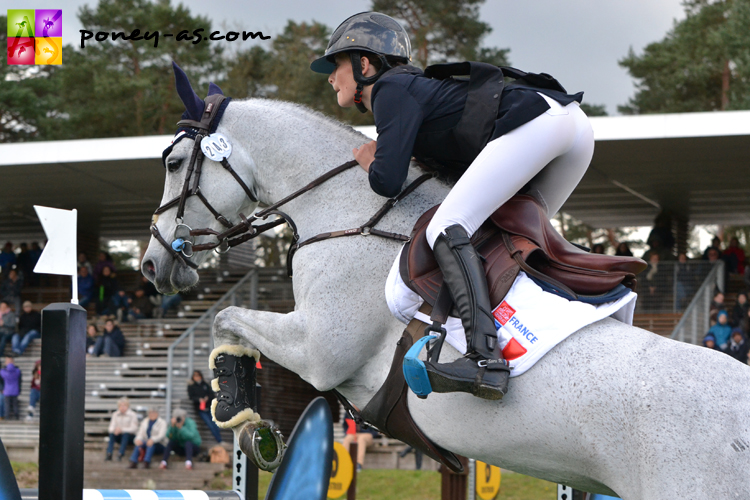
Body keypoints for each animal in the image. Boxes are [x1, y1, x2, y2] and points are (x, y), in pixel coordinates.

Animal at [142, 83, 750, 500]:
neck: (348, 214)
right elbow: (230, 321)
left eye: (173, 163)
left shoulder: (317, 349)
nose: (151, 265)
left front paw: (233, 400)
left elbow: (227, 317)